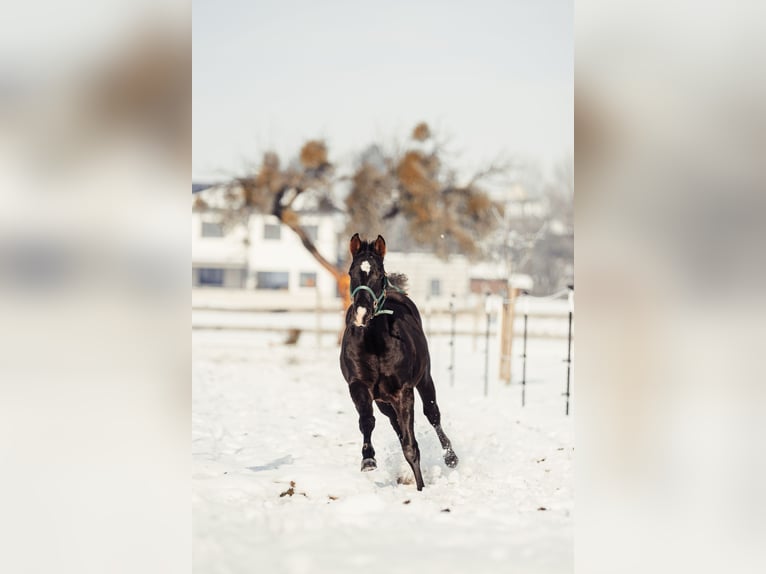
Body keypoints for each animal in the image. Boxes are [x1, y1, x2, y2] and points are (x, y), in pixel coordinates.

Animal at [340, 232, 460, 492]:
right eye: (352, 272)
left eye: (379, 273)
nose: (362, 314)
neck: (375, 344)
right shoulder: (358, 386)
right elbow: (367, 421)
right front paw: (368, 460)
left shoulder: (404, 391)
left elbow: (411, 445)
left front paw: (421, 488)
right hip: (384, 402)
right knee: (395, 424)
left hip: (424, 381)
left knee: (432, 414)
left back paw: (451, 457)